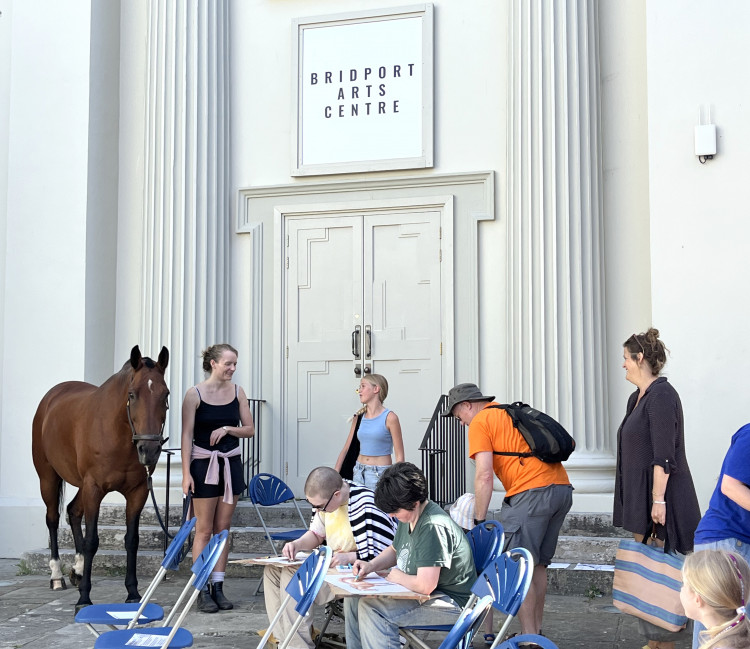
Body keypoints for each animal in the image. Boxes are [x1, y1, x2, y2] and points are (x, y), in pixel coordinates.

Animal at [32, 346, 170, 612]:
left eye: (165, 394)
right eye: (132, 394)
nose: (149, 450)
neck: (117, 433)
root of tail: (51, 397)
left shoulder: (138, 492)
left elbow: (132, 540)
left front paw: (133, 593)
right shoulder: (94, 488)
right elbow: (92, 541)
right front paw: (84, 599)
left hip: (80, 485)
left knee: (73, 511)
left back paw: (76, 570)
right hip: (48, 477)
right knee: (52, 518)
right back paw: (57, 576)